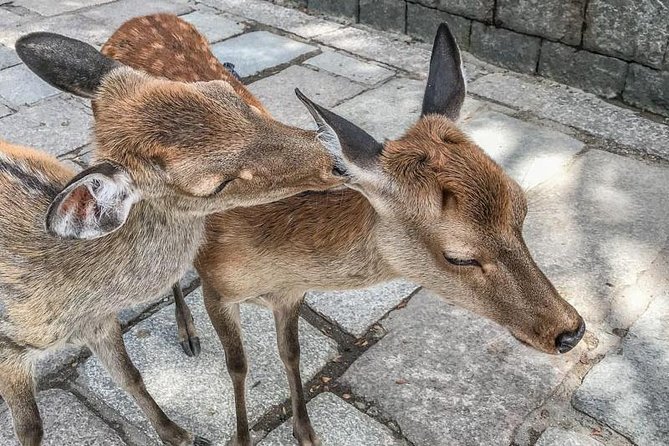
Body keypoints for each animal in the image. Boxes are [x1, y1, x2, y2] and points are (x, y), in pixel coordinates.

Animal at [0, 26, 348, 445]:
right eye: (215, 184)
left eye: (227, 94)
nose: (337, 161)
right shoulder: (9, 354)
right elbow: (30, 429)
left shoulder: (100, 323)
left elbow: (131, 376)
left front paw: (180, 435)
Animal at [151, 20, 586, 446]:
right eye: (459, 255)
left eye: (522, 209)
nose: (570, 332)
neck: (273, 264)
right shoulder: (216, 285)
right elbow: (238, 366)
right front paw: (242, 436)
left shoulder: (291, 295)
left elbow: (291, 354)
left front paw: (307, 433)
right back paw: (188, 334)